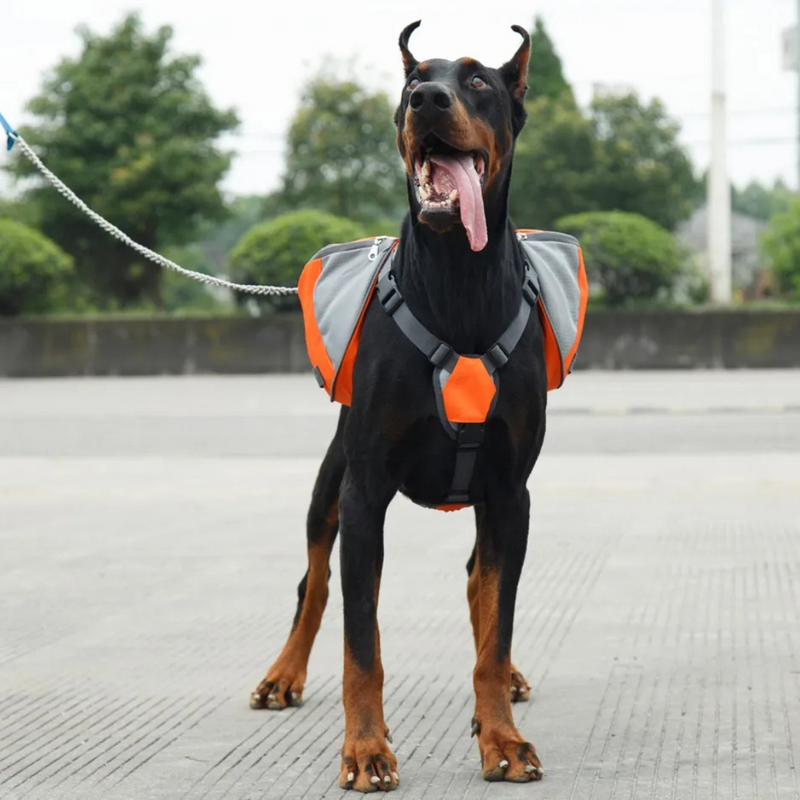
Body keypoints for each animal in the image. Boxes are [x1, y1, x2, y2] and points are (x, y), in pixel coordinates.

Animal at [250, 21, 552, 792]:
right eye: (413, 81)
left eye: (477, 81)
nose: (428, 99)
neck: (458, 278)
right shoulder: (366, 491)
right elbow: (361, 642)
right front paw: (365, 751)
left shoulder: (510, 492)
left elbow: (496, 623)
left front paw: (502, 740)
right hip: (330, 480)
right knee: (314, 581)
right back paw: (283, 676)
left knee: (480, 585)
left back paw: (504, 687)